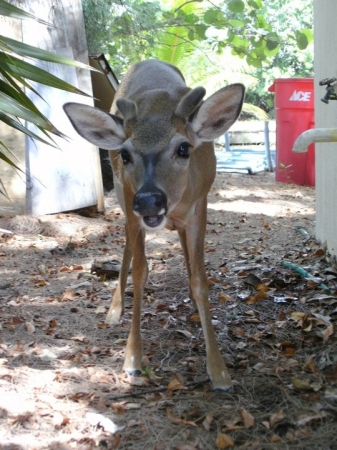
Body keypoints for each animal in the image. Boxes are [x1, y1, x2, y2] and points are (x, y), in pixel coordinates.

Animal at [63, 59, 243, 390]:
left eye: (184, 148)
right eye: (125, 153)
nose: (149, 200)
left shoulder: (200, 204)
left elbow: (200, 280)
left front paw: (219, 370)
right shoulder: (132, 206)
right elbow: (140, 273)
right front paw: (132, 358)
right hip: (123, 197)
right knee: (125, 246)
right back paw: (114, 310)